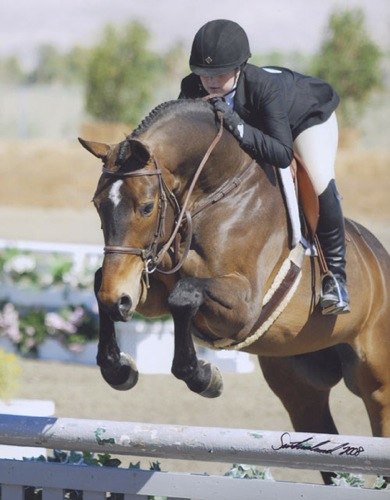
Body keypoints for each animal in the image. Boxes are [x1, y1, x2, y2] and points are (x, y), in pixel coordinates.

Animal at [78, 98, 390, 484]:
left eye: (146, 207)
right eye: (98, 205)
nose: (118, 298)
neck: (213, 195)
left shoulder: (244, 306)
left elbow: (185, 295)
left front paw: (204, 377)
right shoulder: (148, 288)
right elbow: (106, 285)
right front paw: (118, 369)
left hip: (378, 382)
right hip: (299, 386)